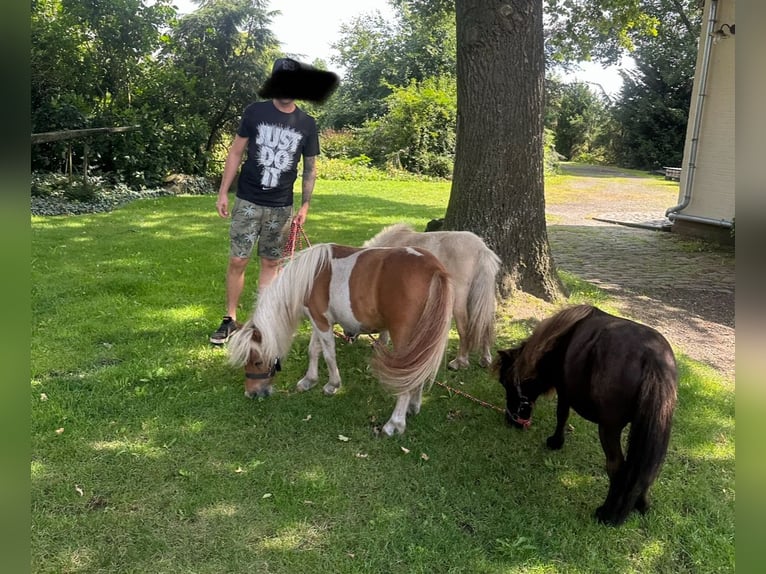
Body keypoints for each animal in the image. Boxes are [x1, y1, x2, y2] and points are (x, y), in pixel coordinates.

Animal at [228, 243, 456, 436]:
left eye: (257, 362)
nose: (251, 393)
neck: (308, 277)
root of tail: (434, 268)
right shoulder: (318, 320)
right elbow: (314, 350)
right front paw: (309, 380)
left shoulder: (322, 322)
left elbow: (329, 355)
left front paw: (332, 385)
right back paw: (413, 406)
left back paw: (395, 423)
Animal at [366, 223, 504, 372]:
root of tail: (481, 248)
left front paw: (380, 343)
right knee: (485, 324)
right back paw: (485, 359)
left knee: (464, 327)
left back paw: (459, 362)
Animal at [492, 306, 680, 528]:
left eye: (505, 382)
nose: (511, 420)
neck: (560, 339)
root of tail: (652, 358)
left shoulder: (564, 392)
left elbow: (561, 415)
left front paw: (555, 442)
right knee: (646, 469)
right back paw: (641, 504)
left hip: (609, 428)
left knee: (616, 466)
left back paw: (606, 513)